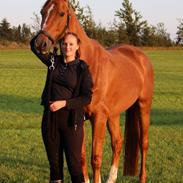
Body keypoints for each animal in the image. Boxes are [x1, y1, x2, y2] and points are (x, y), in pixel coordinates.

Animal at [32, 0, 153, 182]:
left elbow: (95, 157)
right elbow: (80, 155)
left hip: (143, 107)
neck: (88, 63)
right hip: (114, 114)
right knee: (117, 142)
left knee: (143, 143)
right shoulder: (79, 118)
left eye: (61, 13)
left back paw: (142, 177)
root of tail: (140, 56)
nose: (40, 43)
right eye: (42, 12)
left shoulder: (98, 117)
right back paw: (111, 178)